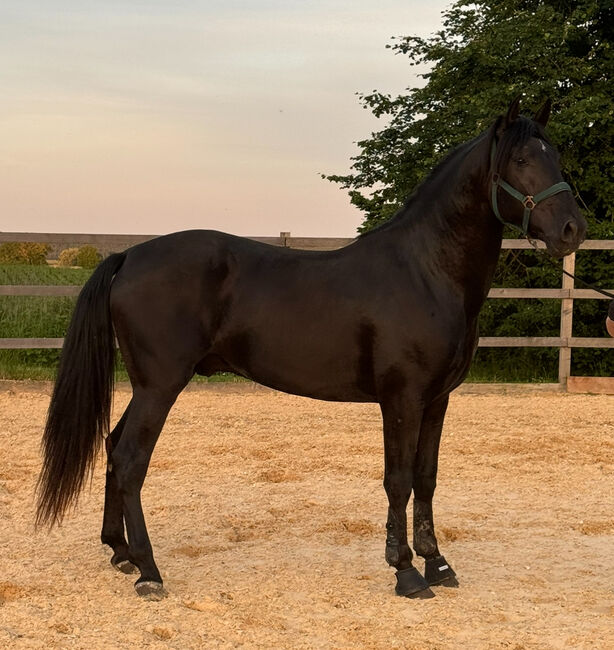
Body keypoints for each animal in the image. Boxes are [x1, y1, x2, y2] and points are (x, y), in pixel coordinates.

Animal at [37, 98, 588, 600]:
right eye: (522, 160)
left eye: (556, 156)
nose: (572, 229)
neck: (425, 271)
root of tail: (129, 255)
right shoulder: (402, 398)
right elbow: (398, 479)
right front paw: (406, 573)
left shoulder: (437, 399)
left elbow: (427, 478)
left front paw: (438, 564)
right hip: (159, 385)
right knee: (130, 458)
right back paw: (150, 572)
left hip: (147, 387)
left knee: (112, 447)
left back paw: (121, 552)